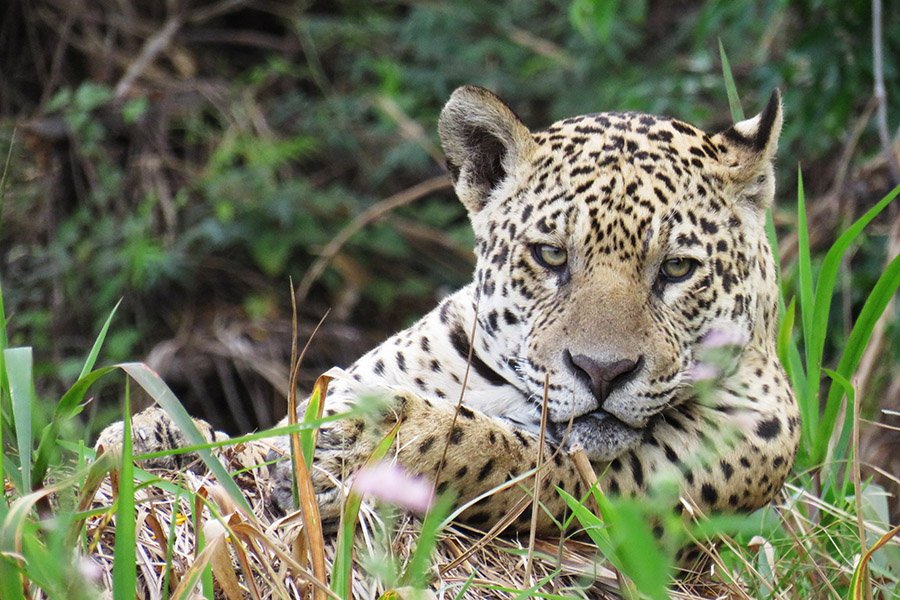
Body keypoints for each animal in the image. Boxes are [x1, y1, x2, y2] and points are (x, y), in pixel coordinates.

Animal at [97, 85, 801, 538]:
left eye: (677, 269)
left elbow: (515, 455)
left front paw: (370, 438)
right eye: (550, 255)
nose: (601, 372)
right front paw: (156, 436)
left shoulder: (677, 470)